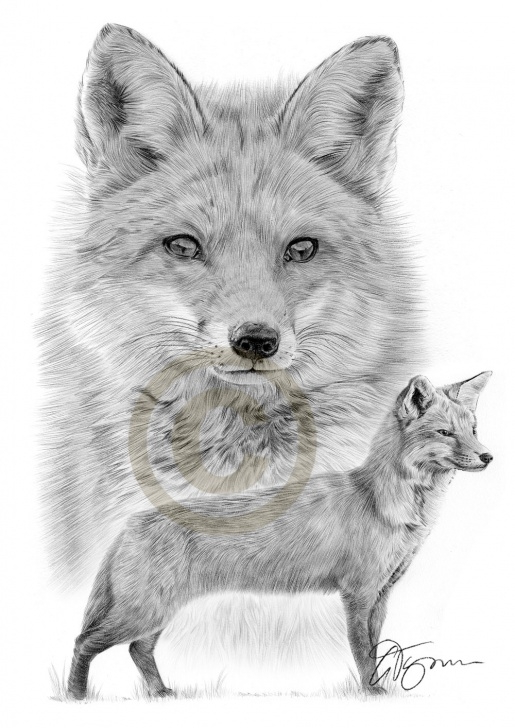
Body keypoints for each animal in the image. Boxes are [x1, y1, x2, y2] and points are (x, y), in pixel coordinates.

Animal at [67, 371, 492, 699]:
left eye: (472, 431)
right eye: (445, 433)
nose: (488, 456)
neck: (383, 503)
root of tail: (129, 523)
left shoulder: (382, 595)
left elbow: (374, 649)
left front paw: (376, 688)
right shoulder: (357, 594)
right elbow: (362, 652)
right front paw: (370, 693)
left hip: (157, 612)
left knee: (137, 650)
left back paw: (158, 693)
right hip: (144, 611)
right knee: (83, 643)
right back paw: (75, 696)